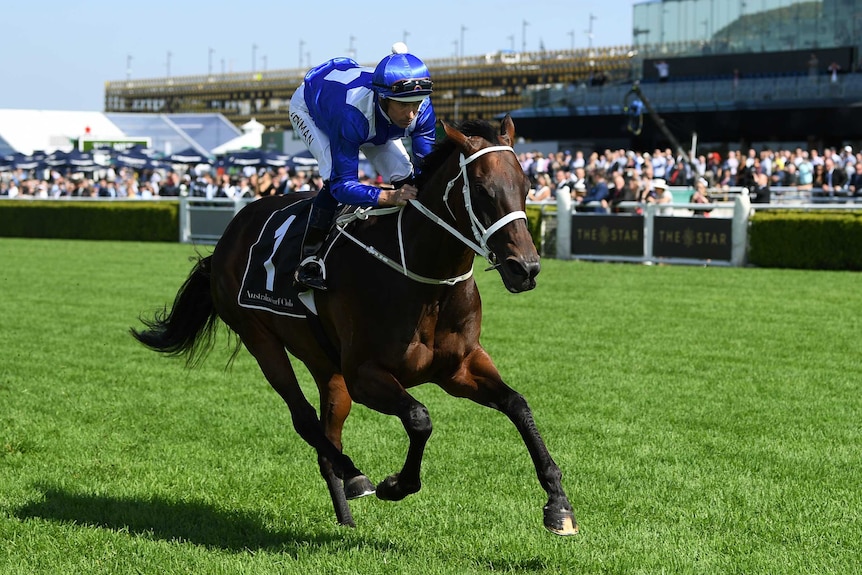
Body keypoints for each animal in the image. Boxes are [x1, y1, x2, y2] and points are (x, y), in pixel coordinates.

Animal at [132, 115, 580, 536]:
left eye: (526, 185)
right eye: (484, 190)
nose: (526, 269)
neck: (424, 278)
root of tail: (228, 236)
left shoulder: (459, 368)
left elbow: (518, 405)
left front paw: (558, 505)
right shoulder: (365, 375)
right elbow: (420, 418)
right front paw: (395, 485)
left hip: (327, 366)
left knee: (326, 435)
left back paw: (346, 512)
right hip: (260, 338)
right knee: (305, 420)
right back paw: (355, 475)